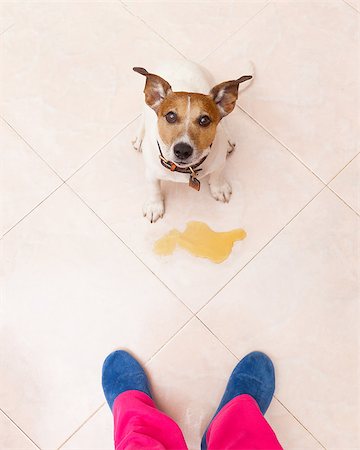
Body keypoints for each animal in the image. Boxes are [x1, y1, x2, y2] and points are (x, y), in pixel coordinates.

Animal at [132, 60, 253, 222]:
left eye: (204, 120)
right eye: (170, 116)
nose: (182, 150)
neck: (185, 169)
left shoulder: (219, 162)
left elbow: (217, 175)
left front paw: (219, 188)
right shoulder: (151, 173)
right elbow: (154, 189)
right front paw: (154, 205)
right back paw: (139, 137)